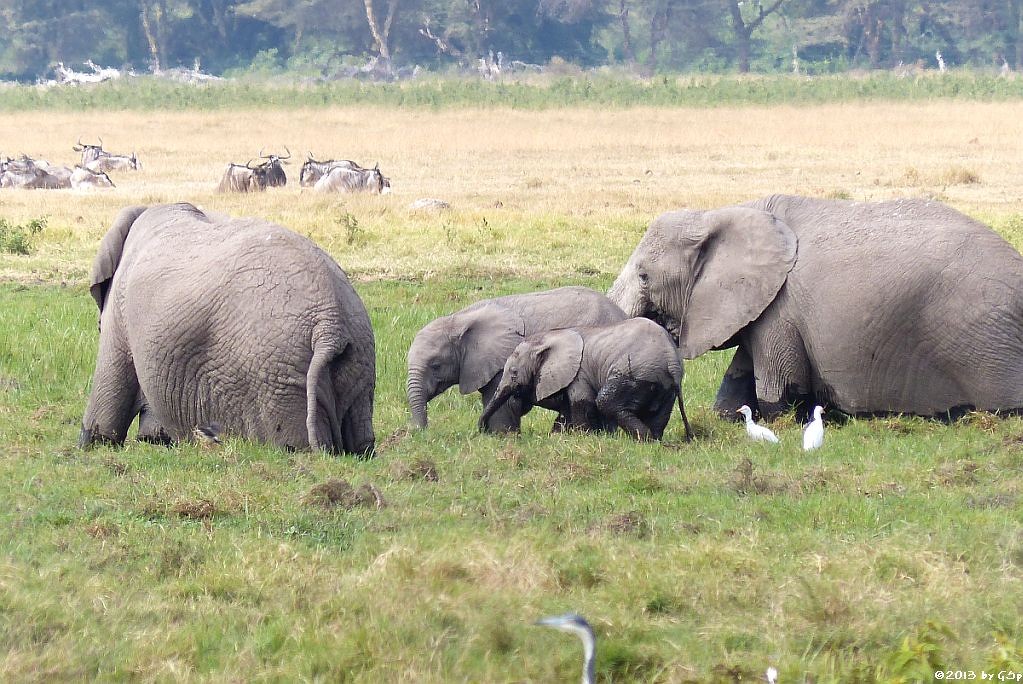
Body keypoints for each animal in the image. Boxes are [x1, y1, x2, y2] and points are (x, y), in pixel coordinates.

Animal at [78, 201, 376, 453]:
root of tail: (329, 322)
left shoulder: (120, 307)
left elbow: (112, 382)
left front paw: (92, 446)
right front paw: (154, 441)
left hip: (278, 376)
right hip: (357, 358)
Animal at [478, 316, 695, 439]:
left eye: (514, 373)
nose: (482, 431)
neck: (548, 338)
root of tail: (672, 360)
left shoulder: (578, 375)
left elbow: (581, 402)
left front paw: (583, 438)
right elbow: (566, 408)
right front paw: (559, 436)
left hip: (635, 373)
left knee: (606, 402)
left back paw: (643, 439)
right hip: (664, 386)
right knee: (659, 415)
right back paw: (654, 440)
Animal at [605, 193, 1023, 421]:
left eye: (644, 276)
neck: (725, 211)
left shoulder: (782, 309)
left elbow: (778, 392)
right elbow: (735, 386)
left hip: (983, 339)